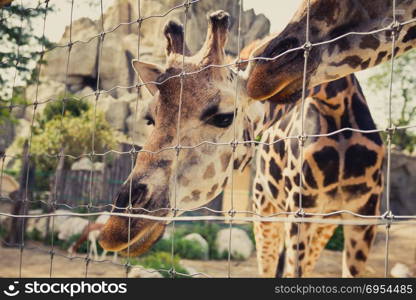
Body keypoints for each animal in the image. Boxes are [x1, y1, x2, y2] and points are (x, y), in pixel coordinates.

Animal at [99, 10, 386, 278]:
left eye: (224, 117)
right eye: (150, 119)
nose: (117, 226)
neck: (336, 110)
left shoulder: (363, 216)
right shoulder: (299, 212)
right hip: (267, 211)